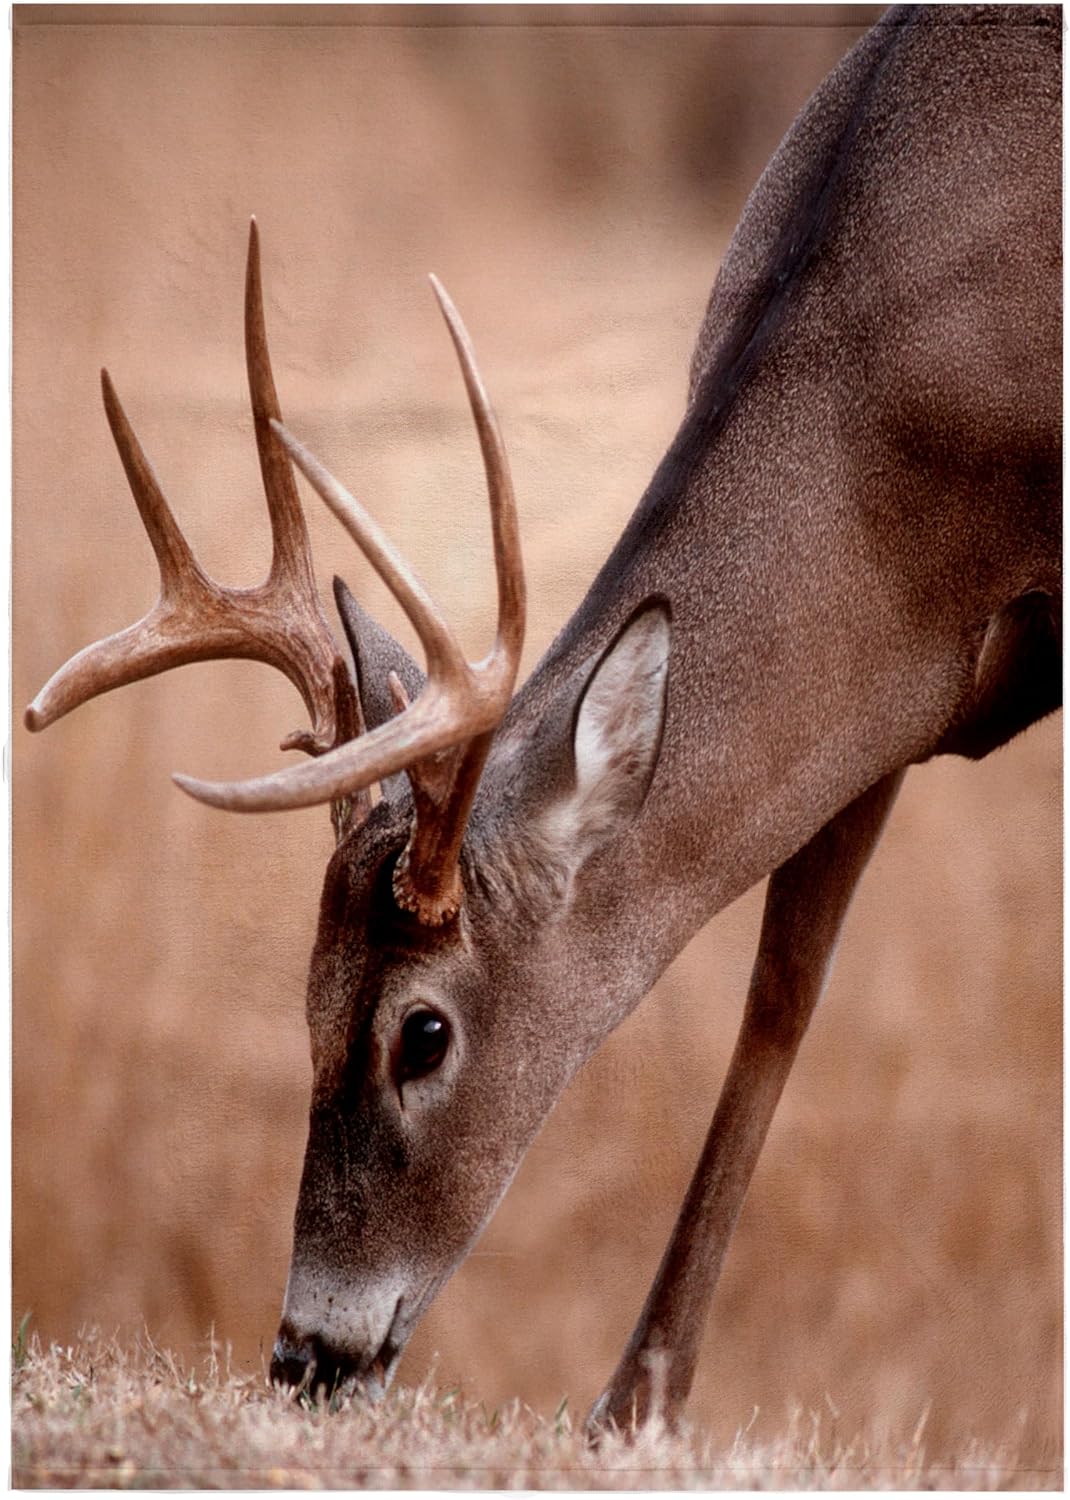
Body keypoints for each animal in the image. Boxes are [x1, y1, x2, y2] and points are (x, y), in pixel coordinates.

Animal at [25, 3, 1060, 1434]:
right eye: (305, 996)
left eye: (423, 1031)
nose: (305, 1351)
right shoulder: (893, 692)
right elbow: (781, 993)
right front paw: (635, 1408)